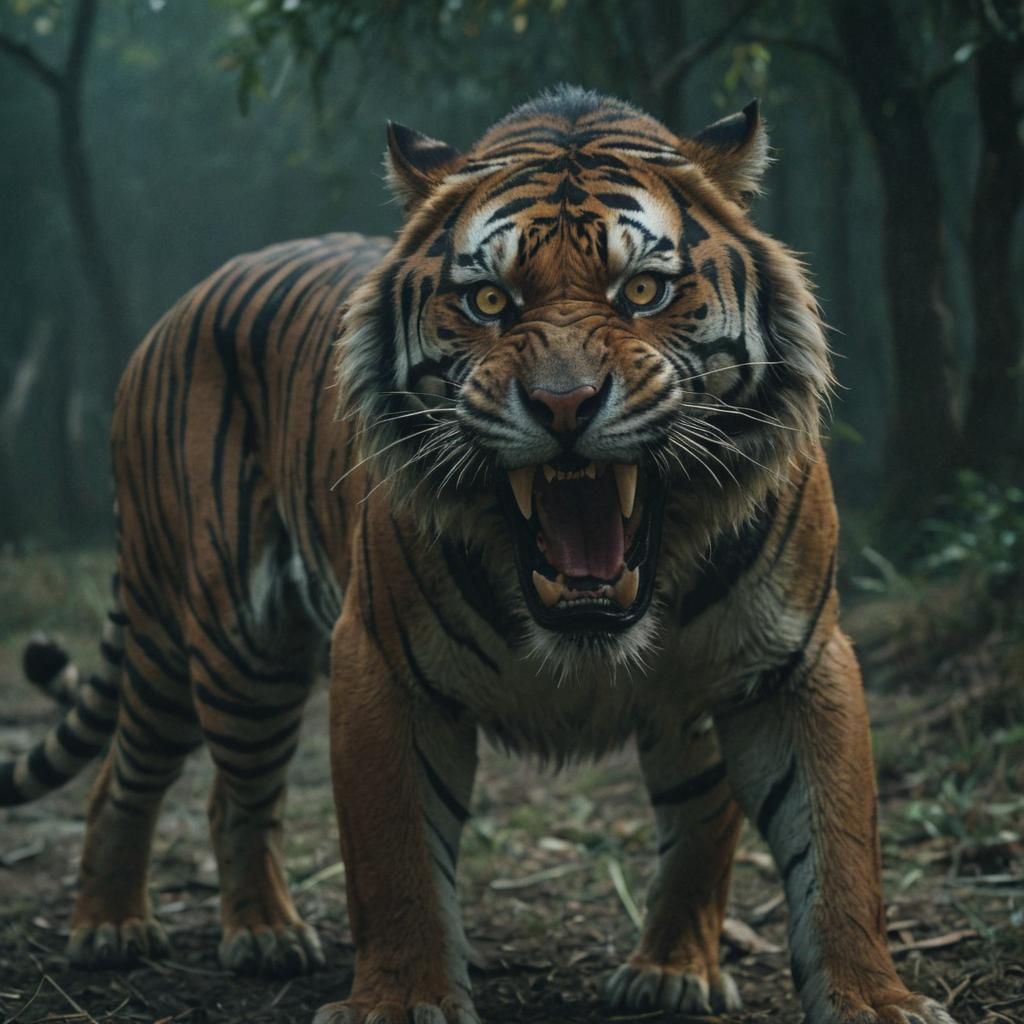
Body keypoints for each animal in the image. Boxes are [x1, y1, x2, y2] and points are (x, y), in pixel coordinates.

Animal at [0, 86, 957, 1024]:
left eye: (644, 290)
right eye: (491, 302)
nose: (565, 404)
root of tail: (181, 307)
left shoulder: (795, 662)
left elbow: (837, 854)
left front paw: (870, 1000)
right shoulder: (381, 664)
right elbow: (396, 864)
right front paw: (400, 1002)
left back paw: (663, 967)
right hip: (227, 641)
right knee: (155, 778)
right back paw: (147, 927)